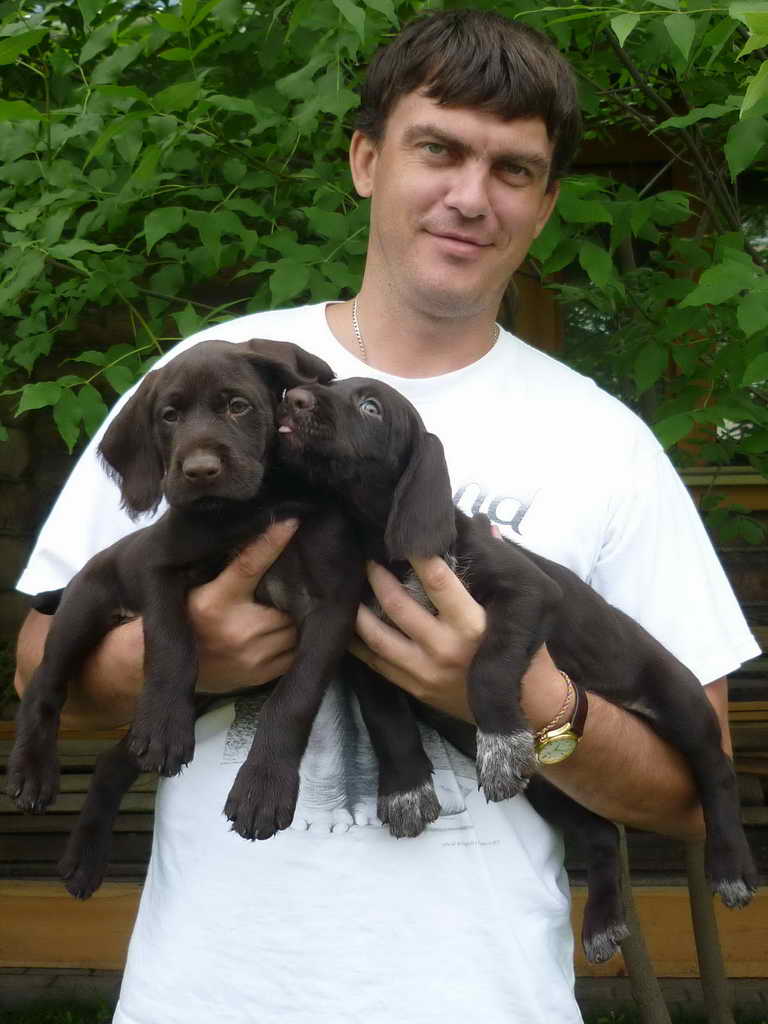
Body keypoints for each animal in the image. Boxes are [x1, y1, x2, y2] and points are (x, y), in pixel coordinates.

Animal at [7, 339, 365, 897]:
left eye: (237, 406)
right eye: (169, 416)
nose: (198, 471)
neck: (252, 507)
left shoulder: (330, 606)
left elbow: (294, 697)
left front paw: (263, 786)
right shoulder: (159, 568)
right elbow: (172, 643)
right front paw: (163, 725)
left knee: (111, 762)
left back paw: (86, 857)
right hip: (83, 604)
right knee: (44, 683)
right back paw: (33, 772)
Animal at [274, 374, 758, 962]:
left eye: (370, 407)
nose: (293, 398)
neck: (384, 545)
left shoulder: (528, 594)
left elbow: (488, 666)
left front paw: (501, 741)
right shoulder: (366, 645)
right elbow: (386, 720)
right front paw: (406, 790)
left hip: (680, 698)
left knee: (716, 770)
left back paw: (730, 865)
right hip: (550, 785)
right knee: (601, 834)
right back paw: (602, 921)